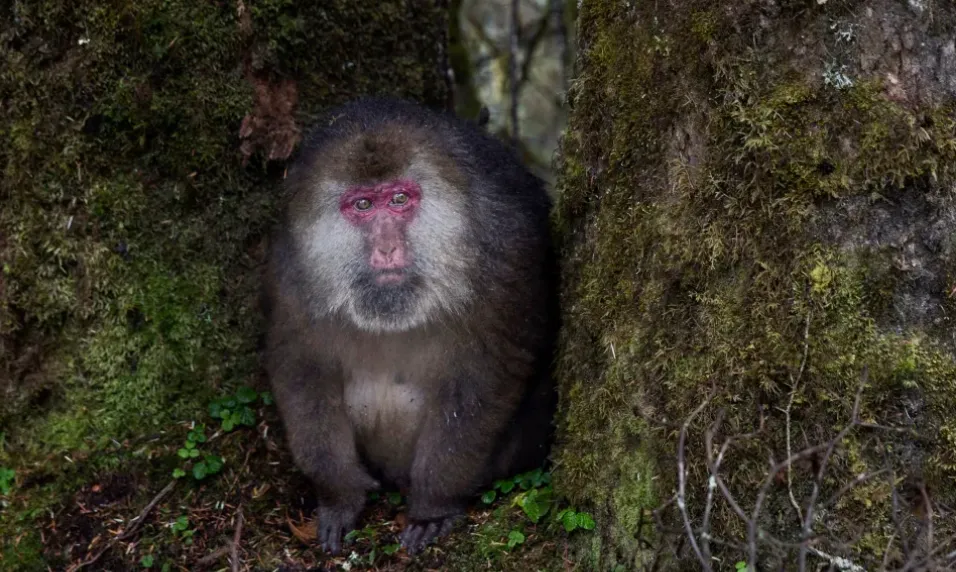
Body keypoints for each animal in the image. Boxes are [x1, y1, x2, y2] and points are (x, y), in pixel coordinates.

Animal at [262, 97, 558, 556]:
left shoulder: (506, 258)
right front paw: (340, 497)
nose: (387, 248)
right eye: (363, 206)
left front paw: (433, 505)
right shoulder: (293, 271)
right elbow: (301, 371)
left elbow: (484, 381)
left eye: (400, 198)